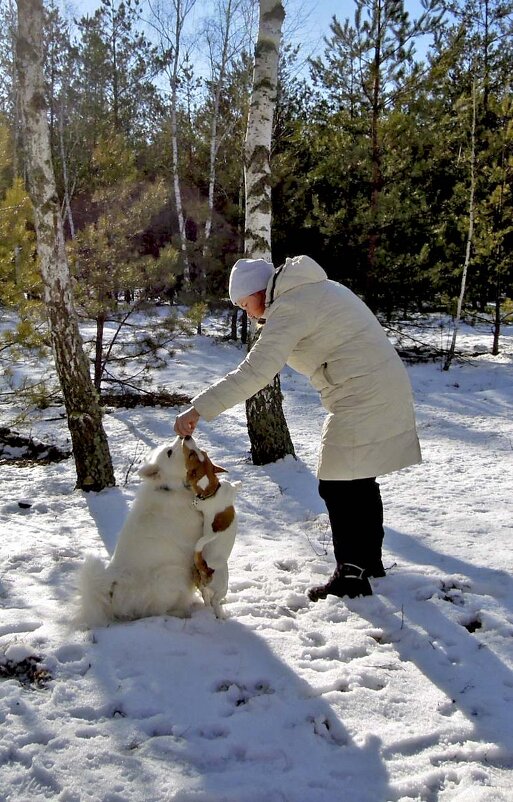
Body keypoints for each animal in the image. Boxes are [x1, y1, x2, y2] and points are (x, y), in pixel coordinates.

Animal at [78, 438, 202, 624]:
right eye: (169, 452)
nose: (185, 436)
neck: (171, 488)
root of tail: (110, 594)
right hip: (171, 574)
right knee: (158, 611)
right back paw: (182, 613)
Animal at [182, 434, 240, 616]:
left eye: (202, 452)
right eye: (192, 454)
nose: (188, 435)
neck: (212, 489)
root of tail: (206, 568)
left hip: (213, 586)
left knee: (209, 599)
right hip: (219, 585)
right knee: (212, 599)